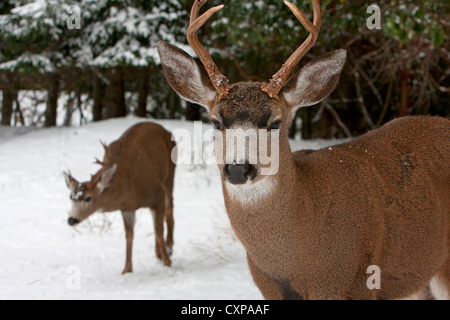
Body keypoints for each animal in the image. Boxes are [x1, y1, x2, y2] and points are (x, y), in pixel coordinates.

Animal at [63, 122, 176, 272]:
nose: (71, 219)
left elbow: (158, 231)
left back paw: (169, 247)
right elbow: (129, 236)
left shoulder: (157, 194)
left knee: (170, 210)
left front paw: (167, 263)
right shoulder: (127, 208)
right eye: (71, 197)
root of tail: (164, 129)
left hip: (169, 176)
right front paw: (127, 269)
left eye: (88, 198)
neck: (129, 189)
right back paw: (158, 252)